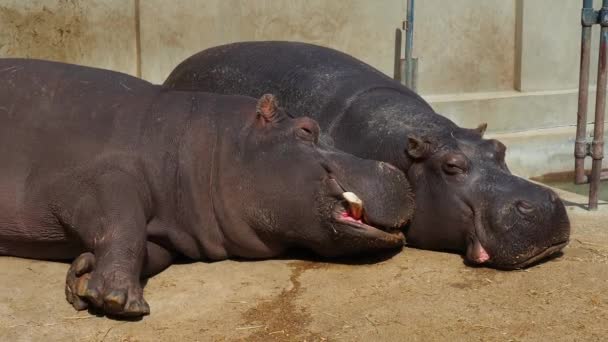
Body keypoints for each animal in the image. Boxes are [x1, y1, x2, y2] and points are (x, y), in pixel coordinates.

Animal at [0, 59, 414, 318]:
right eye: (307, 128)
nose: (393, 167)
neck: (203, 144)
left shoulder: (165, 229)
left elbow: (149, 250)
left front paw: (83, 275)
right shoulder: (91, 180)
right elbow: (124, 226)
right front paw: (120, 301)